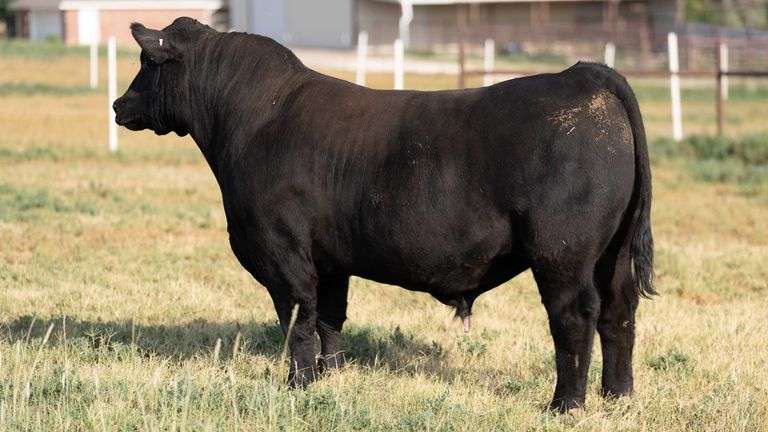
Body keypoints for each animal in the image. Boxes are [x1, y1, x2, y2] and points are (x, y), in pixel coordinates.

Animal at [114, 17, 655, 412]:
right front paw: (329, 377)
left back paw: (566, 404)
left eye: (146, 60)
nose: (119, 105)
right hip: (612, 253)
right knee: (619, 311)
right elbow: (330, 319)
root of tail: (582, 74)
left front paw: (297, 385)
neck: (253, 119)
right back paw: (618, 396)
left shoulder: (282, 251)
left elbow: (298, 319)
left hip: (562, 255)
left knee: (574, 316)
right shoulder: (329, 259)